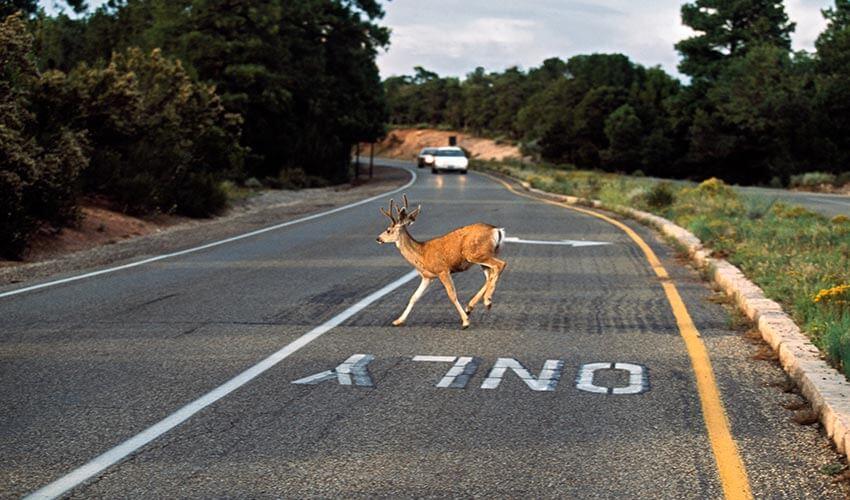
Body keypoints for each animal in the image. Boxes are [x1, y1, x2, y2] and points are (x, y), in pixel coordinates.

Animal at [376, 194, 507, 329]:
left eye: (388, 230)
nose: (378, 238)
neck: (422, 254)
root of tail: (497, 230)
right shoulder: (427, 277)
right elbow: (414, 297)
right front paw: (398, 321)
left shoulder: (442, 270)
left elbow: (452, 295)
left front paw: (465, 321)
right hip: (484, 256)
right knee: (490, 275)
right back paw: (472, 306)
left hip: (475, 254)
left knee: (500, 264)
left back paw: (486, 301)